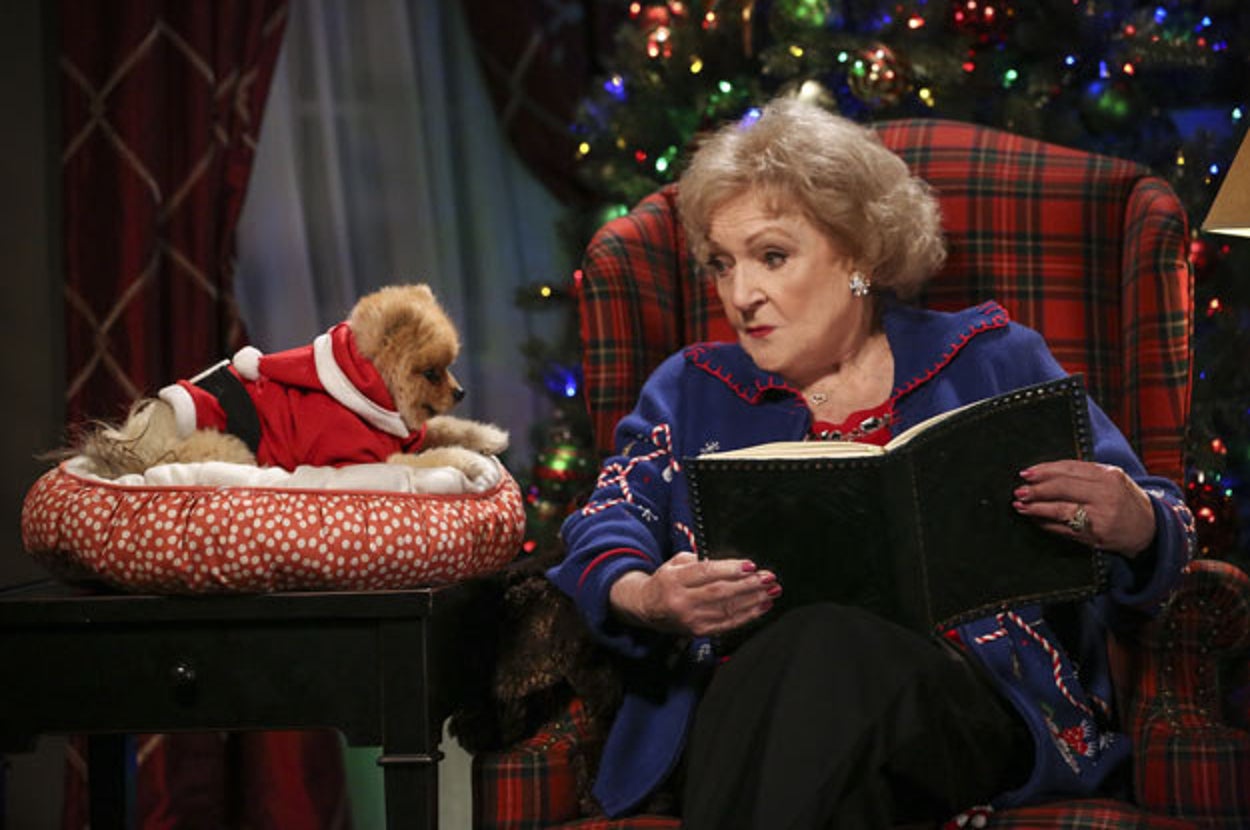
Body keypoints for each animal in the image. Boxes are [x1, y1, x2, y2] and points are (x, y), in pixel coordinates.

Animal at [75, 284, 508, 478]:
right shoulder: (366, 458)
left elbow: (446, 426)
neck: (368, 391)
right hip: (229, 448)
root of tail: (135, 439)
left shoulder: (406, 431)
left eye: (450, 368)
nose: (461, 391)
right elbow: (430, 456)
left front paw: (489, 437)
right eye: (431, 372)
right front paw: (469, 461)